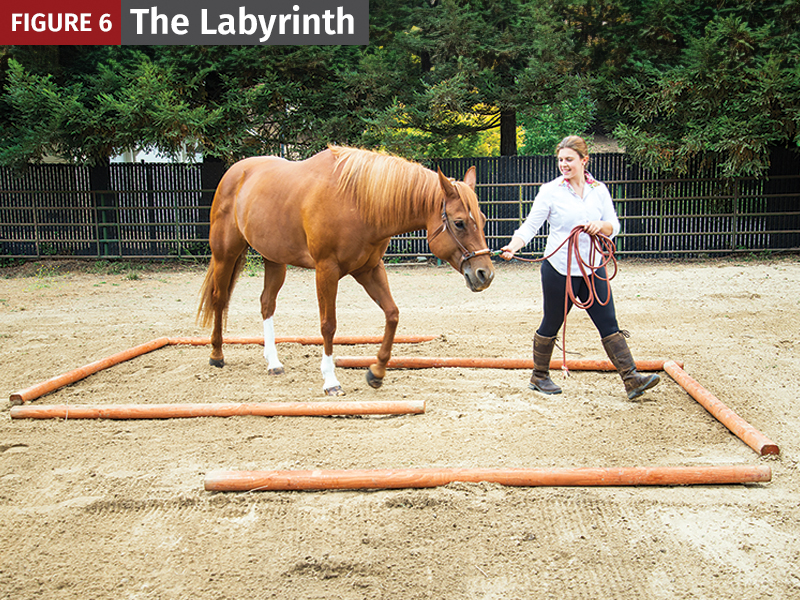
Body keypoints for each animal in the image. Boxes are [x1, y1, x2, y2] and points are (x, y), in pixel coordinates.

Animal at [197, 146, 495, 395]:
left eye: (482, 219)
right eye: (459, 223)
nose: (485, 274)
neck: (357, 201)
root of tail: (235, 173)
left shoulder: (369, 269)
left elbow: (392, 314)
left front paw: (376, 372)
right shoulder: (326, 270)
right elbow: (329, 325)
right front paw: (331, 381)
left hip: (274, 260)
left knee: (267, 303)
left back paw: (273, 363)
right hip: (225, 254)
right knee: (219, 299)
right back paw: (216, 355)